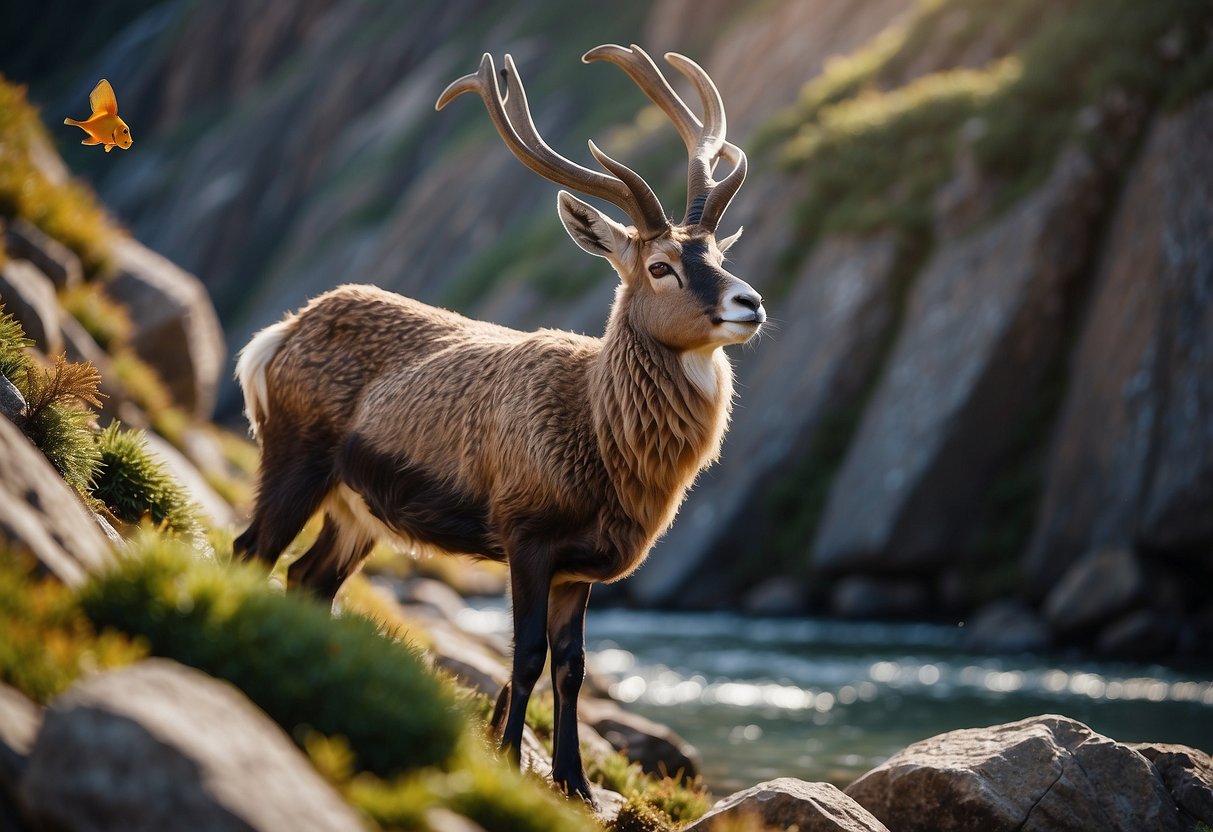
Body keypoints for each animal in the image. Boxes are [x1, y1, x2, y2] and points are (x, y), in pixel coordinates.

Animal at [234, 42, 766, 805]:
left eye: (718, 256)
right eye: (661, 265)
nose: (749, 303)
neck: (605, 451)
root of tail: (272, 338)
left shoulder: (583, 565)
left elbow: (572, 666)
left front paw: (574, 784)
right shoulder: (525, 528)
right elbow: (525, 656)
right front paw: (510, 764)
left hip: (356, 510)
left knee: (308, 576)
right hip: (292, 456)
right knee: (252, 547)